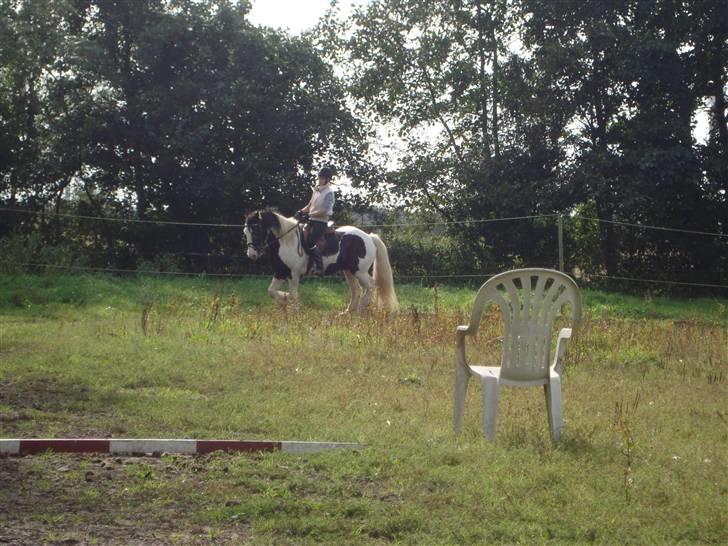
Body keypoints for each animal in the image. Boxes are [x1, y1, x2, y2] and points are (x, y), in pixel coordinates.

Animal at [243, 208, 398, 312]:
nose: (252, 254)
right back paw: (347, 313)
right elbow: (271, 291)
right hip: (348, 271)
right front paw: (284, 300)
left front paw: (294, 311)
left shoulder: (294, 274)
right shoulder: (280, 272)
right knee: (356, 290)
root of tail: (369, 237)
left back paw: (360, 310)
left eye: (256, 230)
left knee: (371, 286)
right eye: (246, 232)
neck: (286, 241)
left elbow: (293, 295)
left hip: (360, 271)